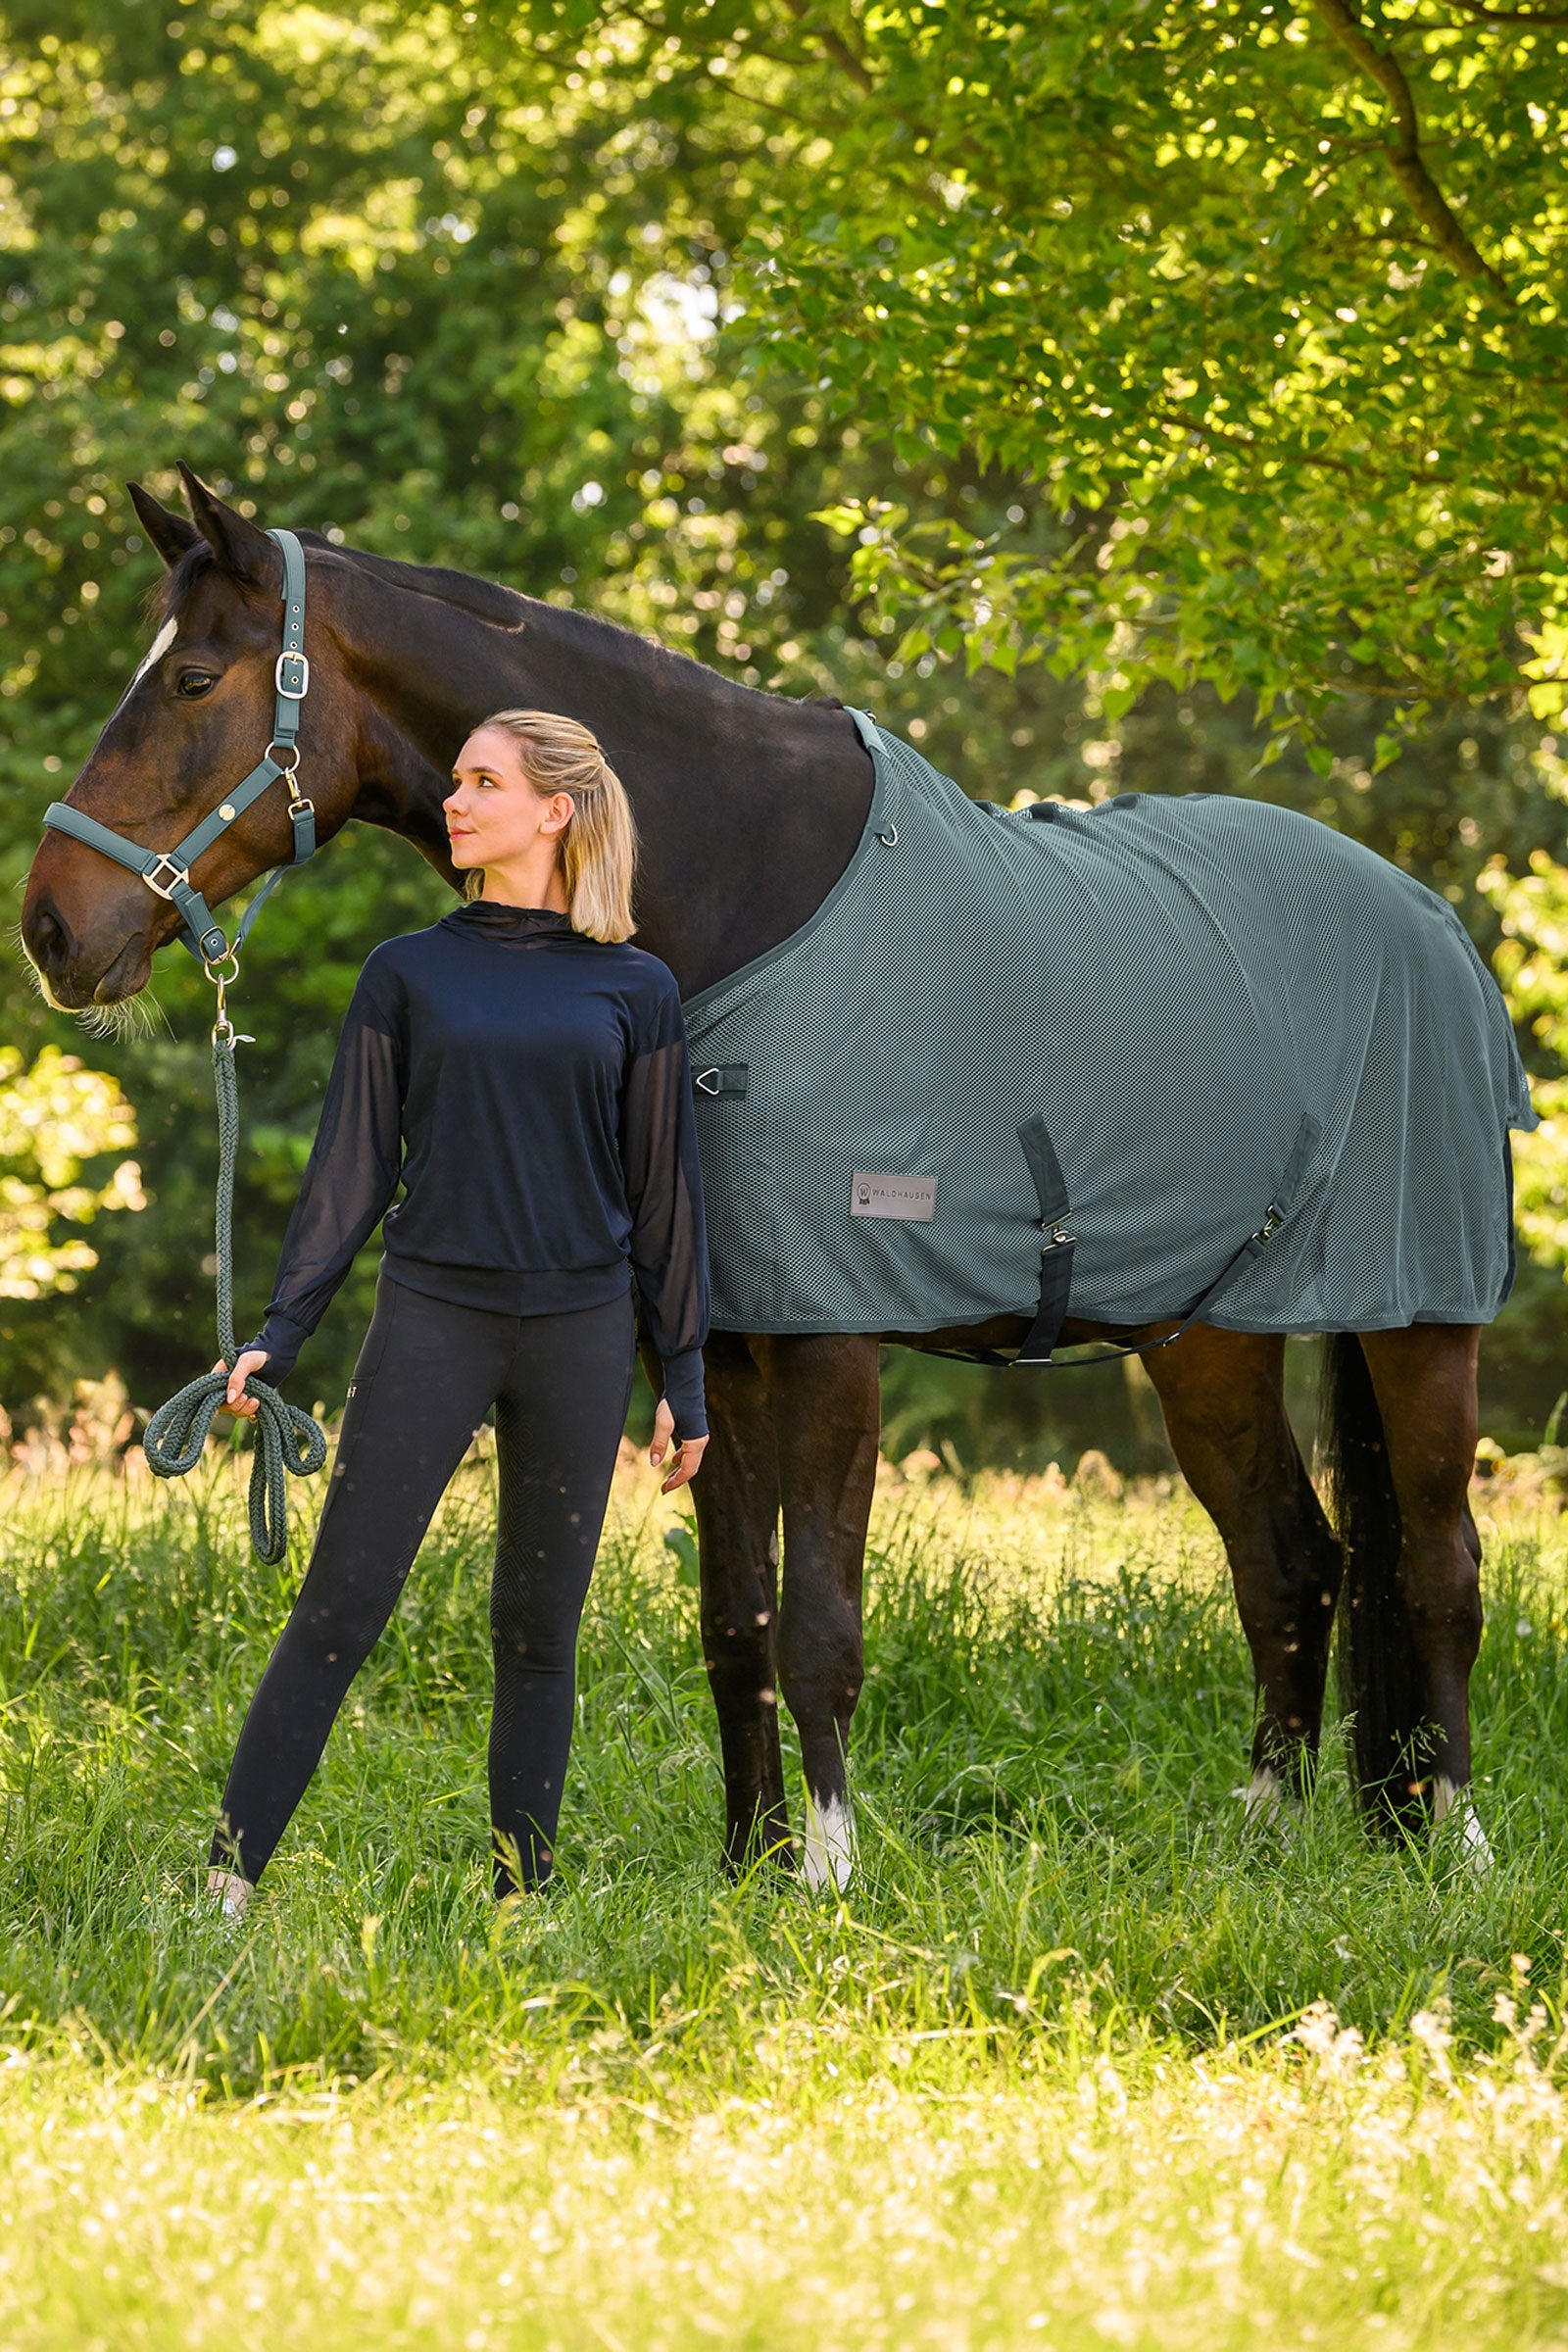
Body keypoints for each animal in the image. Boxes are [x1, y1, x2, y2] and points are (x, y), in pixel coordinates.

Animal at [22, 466, 1507, 1885]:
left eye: (192, 680)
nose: (48, 927)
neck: (748, 889)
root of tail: (1430, 916)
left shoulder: (832, 1341)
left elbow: (819, 1628)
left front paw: (832, 1876)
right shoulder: (716, 1348)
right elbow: (733, 1622)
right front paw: (749, 1865)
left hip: (1423, 1324)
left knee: (1438, 1568)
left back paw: (1457, 1843)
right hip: (1206, 1339)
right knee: (1290, 1562)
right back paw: (1267, 1839)